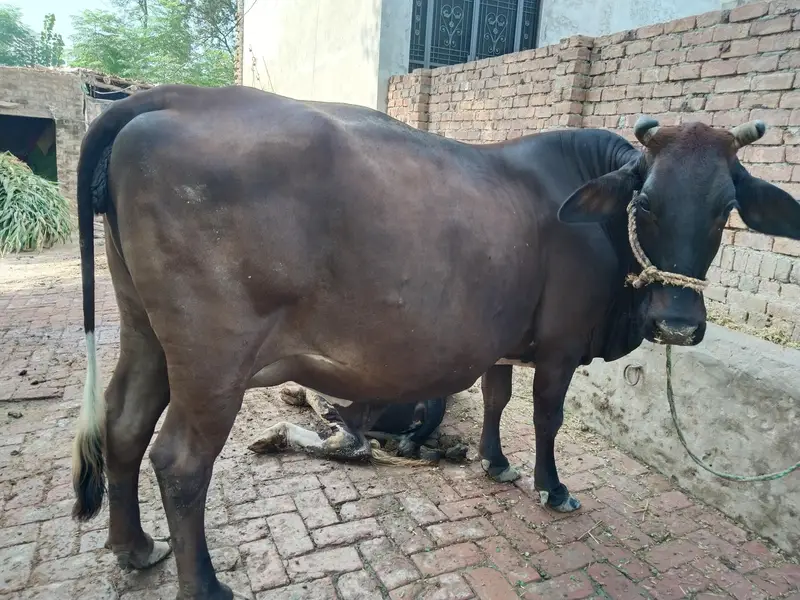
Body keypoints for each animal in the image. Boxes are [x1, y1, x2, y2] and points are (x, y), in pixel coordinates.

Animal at [69, 84, 800, 600]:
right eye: (645, 203)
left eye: (726, 208)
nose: (677, 322)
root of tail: (173, 96)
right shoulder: (561, 346)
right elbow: (547, 416)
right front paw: (551, 487)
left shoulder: (504, 339)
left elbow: (499, 397)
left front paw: (495, 462)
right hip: (213, 357)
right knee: (181, 461)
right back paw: (206, 585)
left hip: (146, 332)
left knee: (124, 425)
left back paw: (135, 547)